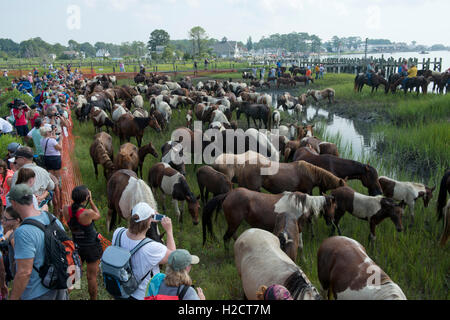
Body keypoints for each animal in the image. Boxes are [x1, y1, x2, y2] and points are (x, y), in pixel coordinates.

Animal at [202, 188, 336, 250]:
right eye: (335, 207)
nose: (331, 222)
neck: (300, 203)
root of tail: (228, 194)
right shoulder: (298, 228)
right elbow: (300, 246)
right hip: (234, 222)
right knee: (226, 238)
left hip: (234, 223)